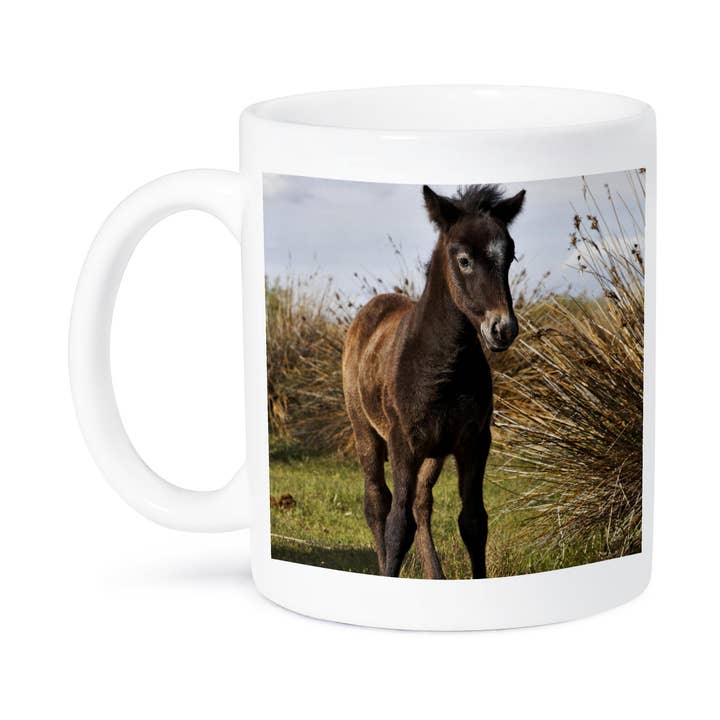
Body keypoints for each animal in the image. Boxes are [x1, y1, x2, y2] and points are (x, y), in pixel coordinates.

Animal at [342, 184, 525, 578]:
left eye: (510, 255)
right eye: (464, 259)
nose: (502, 328)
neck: (443, 365)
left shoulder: (475, 441)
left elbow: (473, 522)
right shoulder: (403, 443)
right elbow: (397, 526)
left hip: (435, 453)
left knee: (420, 503)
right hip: (364, 428)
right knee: (378, 503)